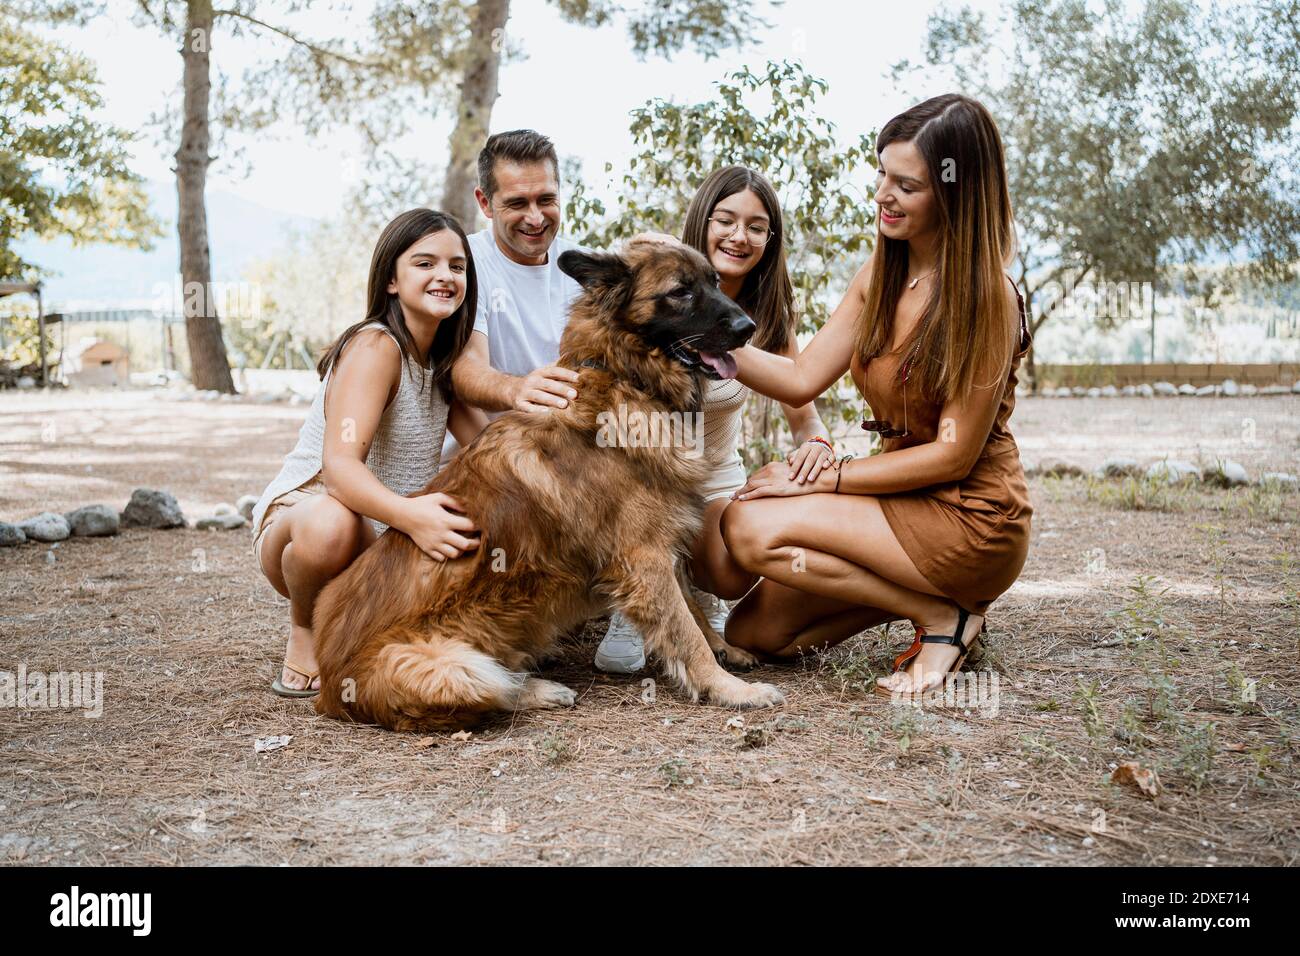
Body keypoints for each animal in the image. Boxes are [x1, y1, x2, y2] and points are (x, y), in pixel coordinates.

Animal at [312, 240, 780, 733]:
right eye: (680, 292)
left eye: (714, 281)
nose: (748, 329)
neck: (622, 375)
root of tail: (329, 686)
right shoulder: (644, 556)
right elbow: (685, 632)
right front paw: (730, 688)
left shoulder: (662, 547)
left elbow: (693, 611)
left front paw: (726, 649)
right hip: (459, 668)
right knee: (497, 688)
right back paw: (541, 688)